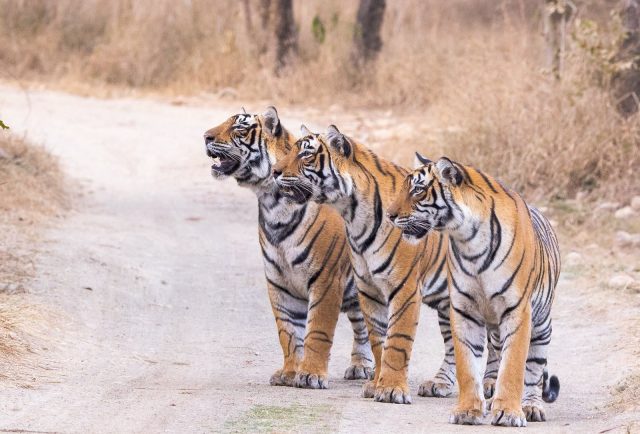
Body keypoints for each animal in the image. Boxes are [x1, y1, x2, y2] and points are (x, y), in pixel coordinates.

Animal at [203, 107, 374, 389]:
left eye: (239, 128)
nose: (205, 136)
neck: (273, 203)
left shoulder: (326, 279)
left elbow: (317, 330)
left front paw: (311, 375)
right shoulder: (278, 281)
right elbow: (289, 332)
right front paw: (290, 373)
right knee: (363, 325)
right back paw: (361, 366)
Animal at [272, 125, 500, 404]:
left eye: (306, 155)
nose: (274, 172)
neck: (353, 215)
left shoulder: (405, 289)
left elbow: (397, 341)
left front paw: (392, 390)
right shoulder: (369, 289)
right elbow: (378, 340)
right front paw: (377, 384)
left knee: (495, 342)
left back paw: (490, 384)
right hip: (450, 303)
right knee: (453, 344)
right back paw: (439, 383)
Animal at [387, 156, 561, 426]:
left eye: (418, 190)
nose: (389, 215)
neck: (468, 240)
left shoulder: (517, 311)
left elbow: (513, 367)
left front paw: (509, 413)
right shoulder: (464, 310)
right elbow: (467, 366)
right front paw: (468, 411)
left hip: (541, 326)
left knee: (533, 371)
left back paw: (531, 406)